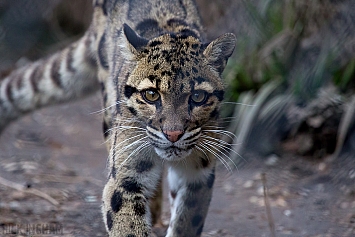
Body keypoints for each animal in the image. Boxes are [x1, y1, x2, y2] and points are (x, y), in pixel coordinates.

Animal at [1, 0, 238, 235]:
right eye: (151, 94)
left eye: (198, 97)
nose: (173, 134)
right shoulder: (125, 175)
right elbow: (129, 222)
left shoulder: (199, 174)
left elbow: (187, 220)